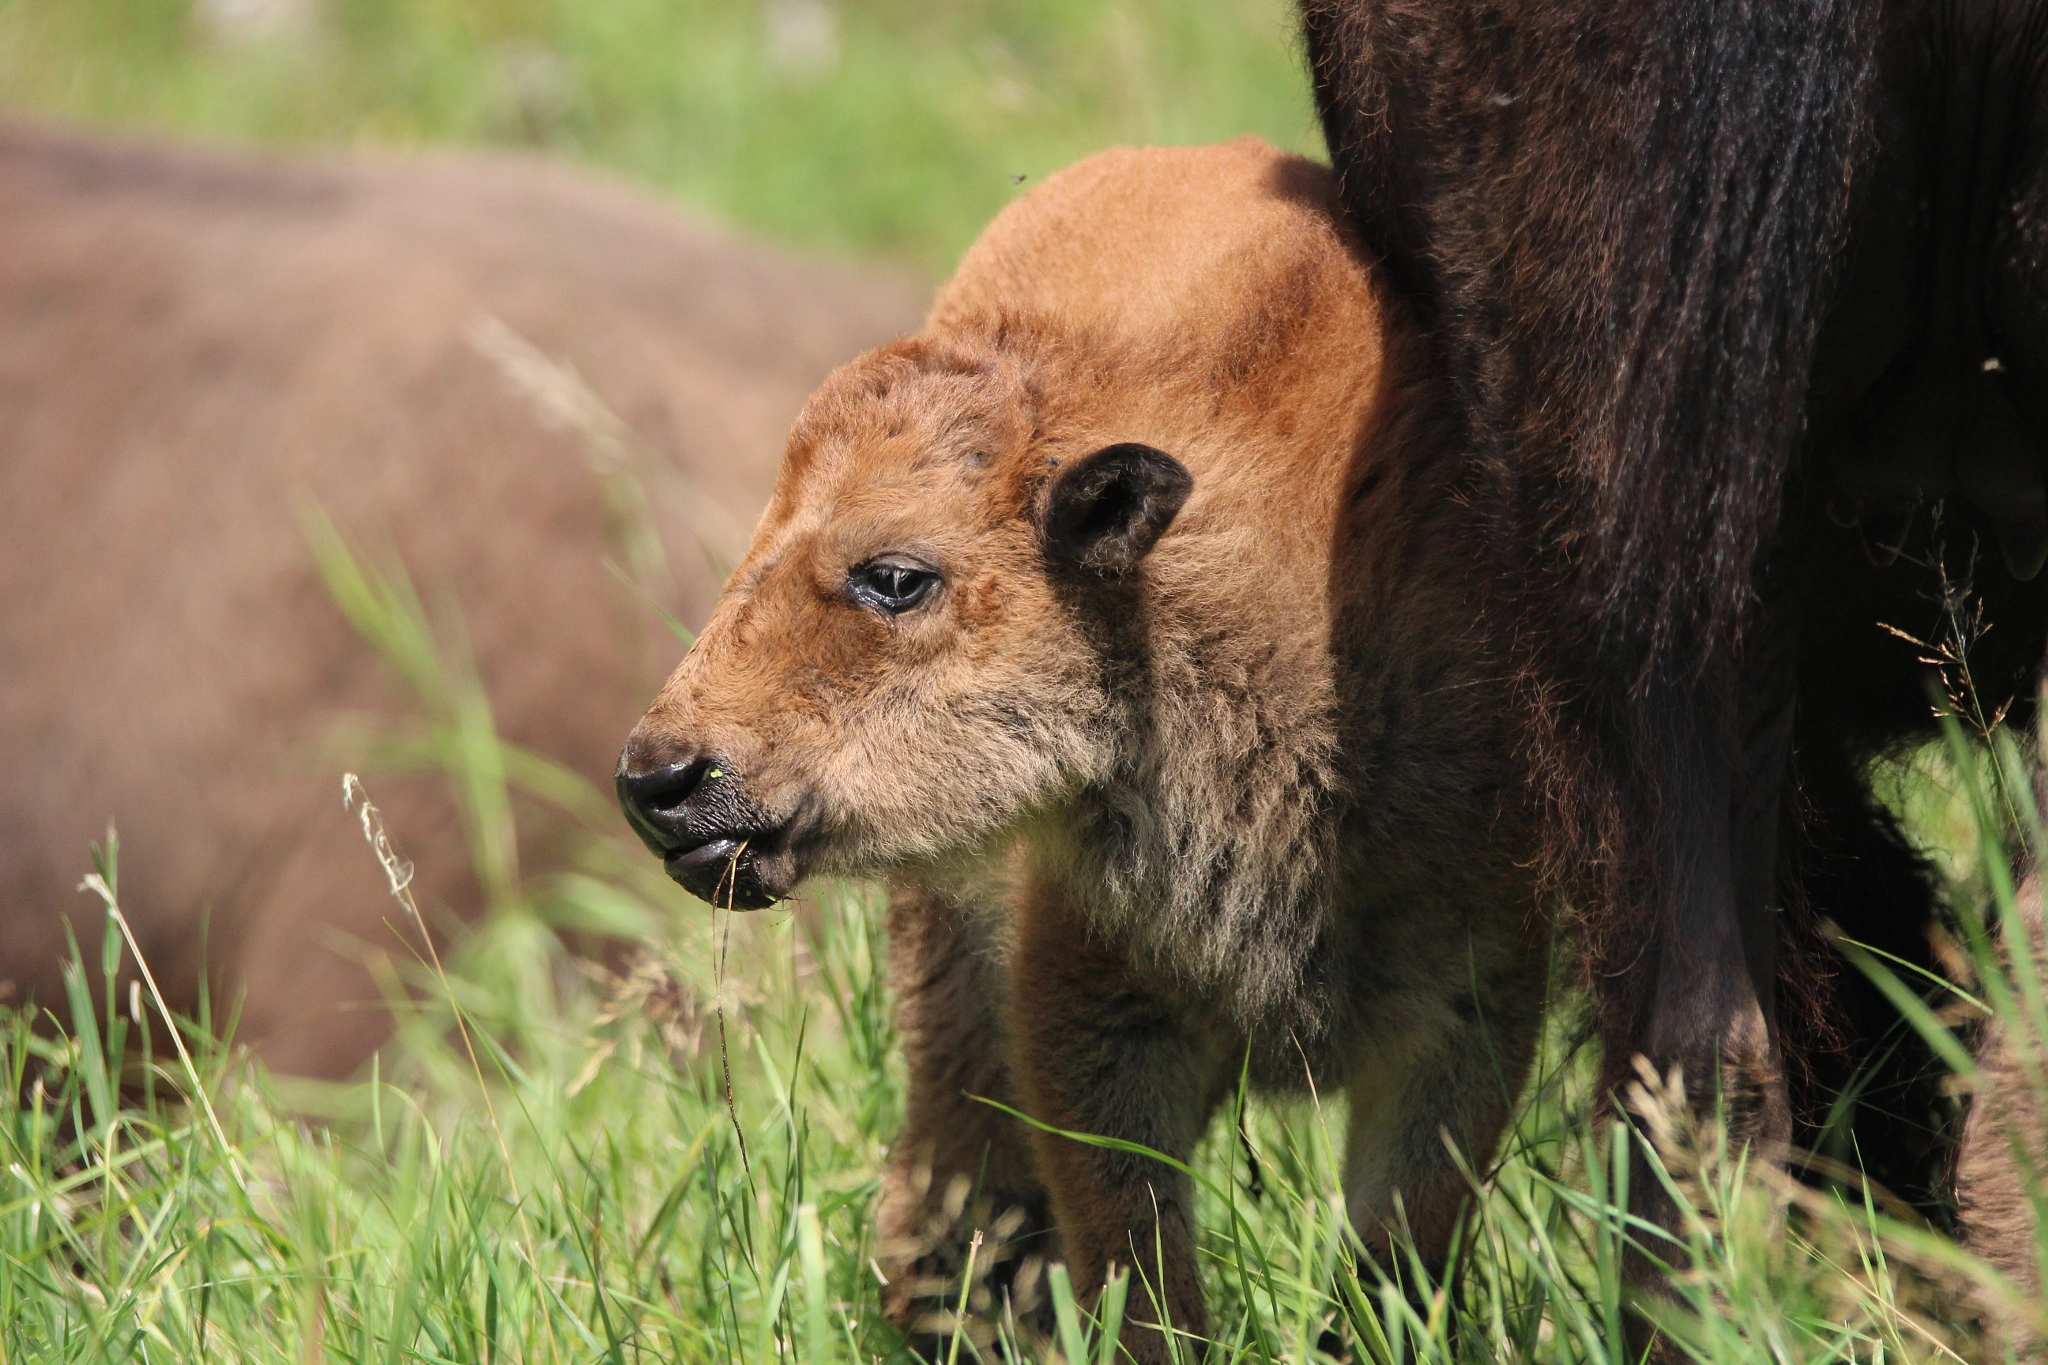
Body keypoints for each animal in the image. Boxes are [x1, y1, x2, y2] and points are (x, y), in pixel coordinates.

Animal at [617, 137, 1544, 1362]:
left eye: (895, 575)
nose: (661, 780)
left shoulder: (1465, 1006)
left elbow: (1399, 1252)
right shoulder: (1086, 1007)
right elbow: (1136, 1265)